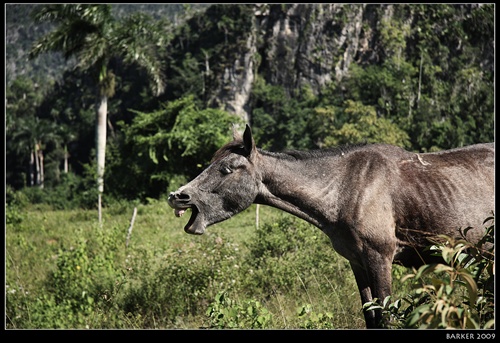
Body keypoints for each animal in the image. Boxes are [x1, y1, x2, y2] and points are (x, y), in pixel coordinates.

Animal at [167, 125, 492, 330]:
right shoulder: (358, 262)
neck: (345, 188)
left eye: (227, 169)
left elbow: (387, 318)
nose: (178, 196)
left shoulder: (380, 257)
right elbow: (371, 318)